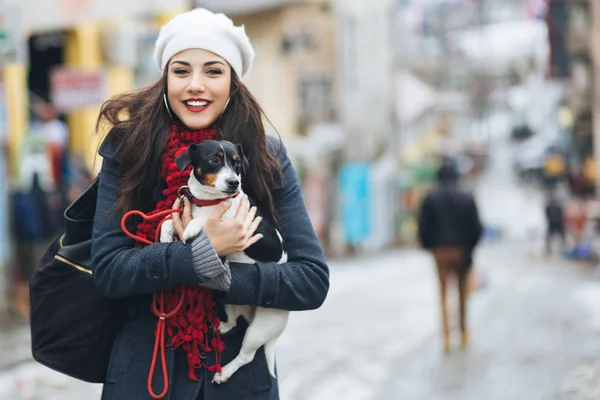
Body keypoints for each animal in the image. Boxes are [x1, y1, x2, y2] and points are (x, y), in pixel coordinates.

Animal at [159, 141, 290, 384]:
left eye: (237, 163)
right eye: (214, 160)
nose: (234, 183)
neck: (209, 201)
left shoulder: (234, 222)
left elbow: (204, 221)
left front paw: (192, 227)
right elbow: (168, 219)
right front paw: (165, 234)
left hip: (260, 328)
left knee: (246, 356)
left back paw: (224, 373)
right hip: (231, 302)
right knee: (233, 322)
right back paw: (221, 327)